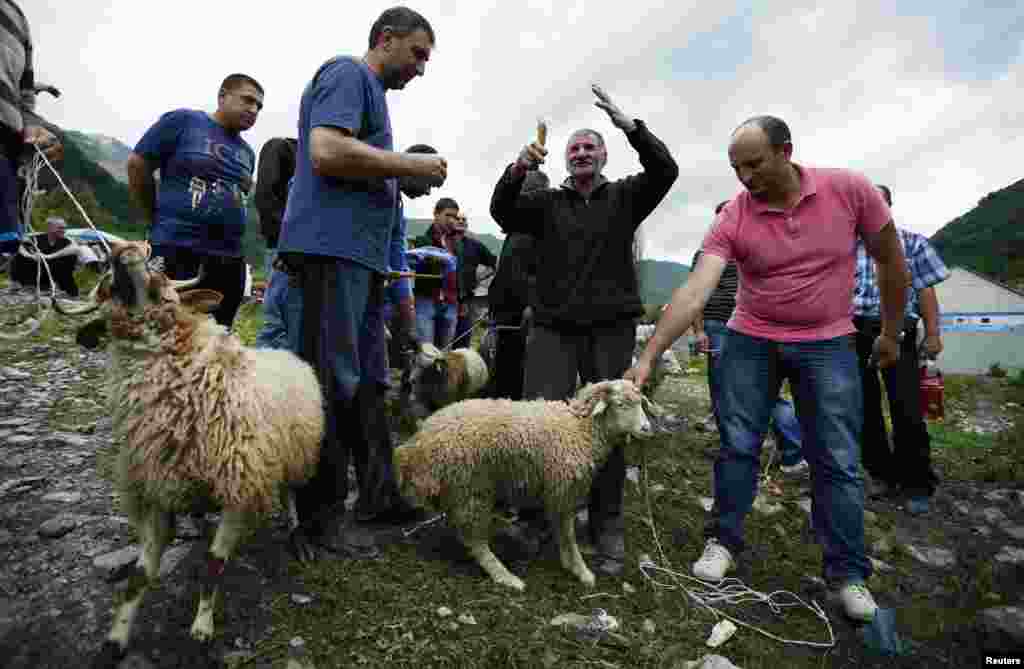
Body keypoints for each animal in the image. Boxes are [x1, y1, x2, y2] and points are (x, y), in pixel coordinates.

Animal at [61, 238, 321, 663]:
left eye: (160, 280)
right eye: (107, 288)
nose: (126, 248)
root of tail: (281, 349)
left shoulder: (239, 487)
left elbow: (214, 564)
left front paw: (201, 627)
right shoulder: (157, 492)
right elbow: (139, 576)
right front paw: (116, 638)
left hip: (296, 456)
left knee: (291, 494)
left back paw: (297, 535)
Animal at [391, 379, 655, 594]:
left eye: (640, 403)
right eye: (620, 404)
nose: (646, 429)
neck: (579, 428)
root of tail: (417, 445)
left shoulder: (558, 491)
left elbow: (563, 530)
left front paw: (570, 562)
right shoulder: (563, 489)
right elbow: (568, 533)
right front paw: (580, 569)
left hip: (461, 488)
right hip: (471, 487)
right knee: (475, 540)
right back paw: (505, 577)